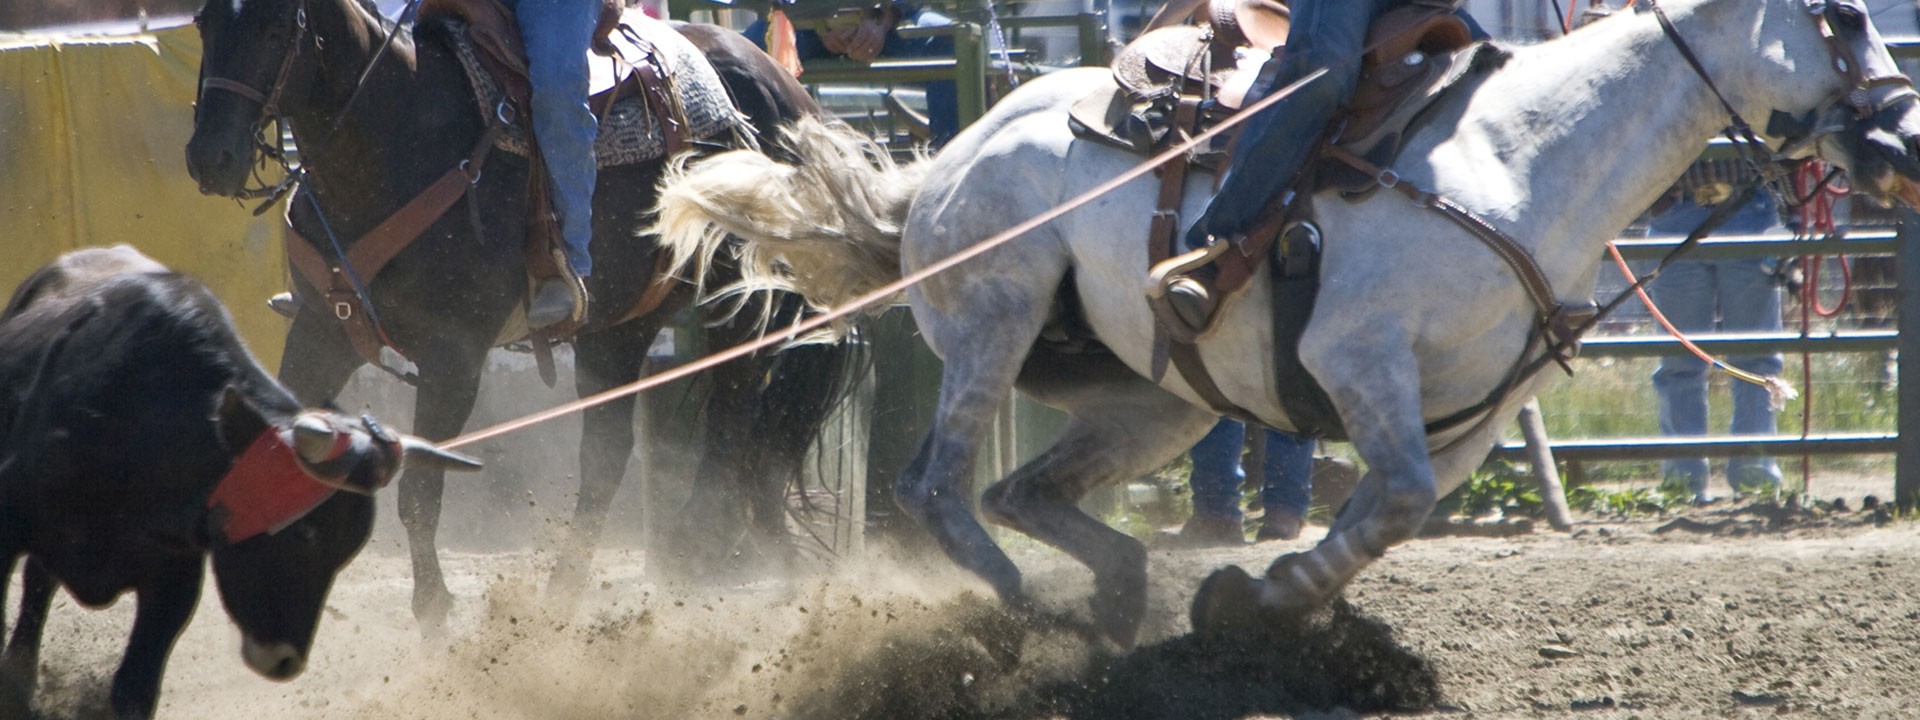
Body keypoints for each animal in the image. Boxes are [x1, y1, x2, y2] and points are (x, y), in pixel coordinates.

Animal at [183, 0, 852, 631]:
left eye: (276, 28)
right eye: (203, 22)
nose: (210, 158)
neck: (397, 139)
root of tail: (789, 92)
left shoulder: (453, 356)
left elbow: (421, 491)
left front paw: (434, 611)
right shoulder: (322, 332)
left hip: (740, 304)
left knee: (732, 418)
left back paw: (699, 546)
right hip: (620, 329)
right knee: (607, 459)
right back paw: (565, 594)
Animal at [654, 0, 1920, 645]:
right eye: (1840, 18)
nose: (1903, 145)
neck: (1521, 157)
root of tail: (947, 161)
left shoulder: (1472, 414)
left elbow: (1387, 513)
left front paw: (1264, 596)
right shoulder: (1358, 358)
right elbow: (1390, 500)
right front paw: (1267, 593)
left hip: (1151, 403)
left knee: (1024, 488)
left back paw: (1116, 599)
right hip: (992, 319)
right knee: (934, 486)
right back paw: (1016, 607)